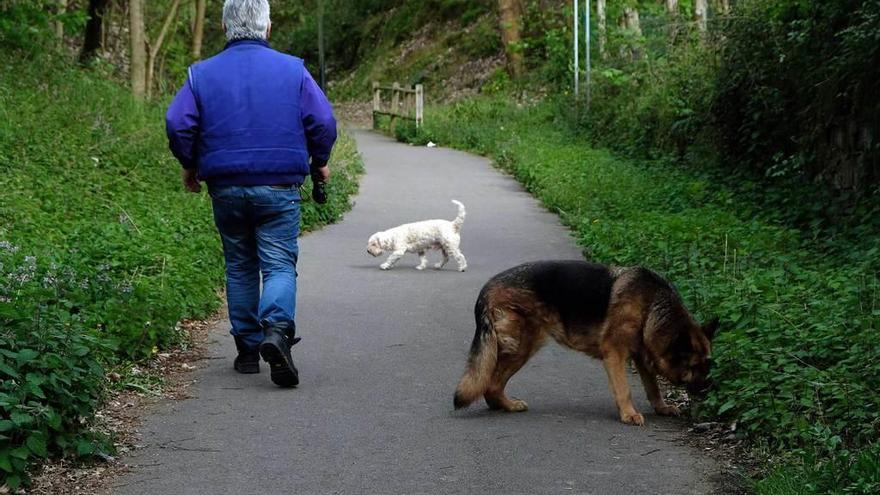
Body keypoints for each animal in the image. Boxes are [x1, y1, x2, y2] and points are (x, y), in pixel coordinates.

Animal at [454, 260, 716, 426]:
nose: (708, 390)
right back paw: (508, 405)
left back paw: (504, 405)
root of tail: (487, 288)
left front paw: (661, 408)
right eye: (695, 366)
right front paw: (629, 414)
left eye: (708, 365)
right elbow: (624, 389)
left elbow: (653, 387)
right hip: (523, 346)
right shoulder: (615, 354)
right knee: (491, 383)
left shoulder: (642, 357)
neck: (652, 305)